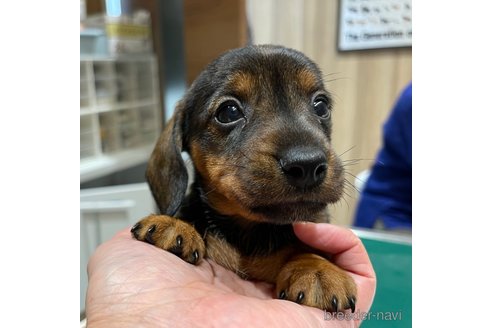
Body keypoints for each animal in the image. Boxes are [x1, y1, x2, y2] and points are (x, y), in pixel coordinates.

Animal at [131, 44, 358, 312]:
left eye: (321, 106)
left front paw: (316, 268)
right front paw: (175, 224)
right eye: (229, 112)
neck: (251, 231)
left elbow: (307, 248)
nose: (307, 164)